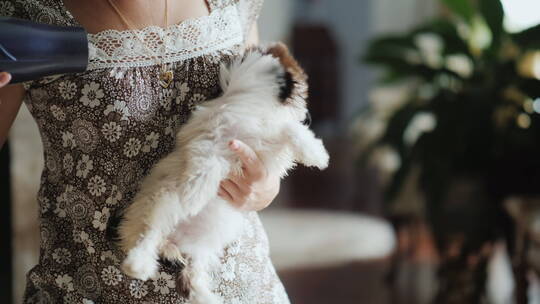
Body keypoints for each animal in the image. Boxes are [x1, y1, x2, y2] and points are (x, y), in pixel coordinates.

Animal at [118, 42, 330, 304]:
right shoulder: (210, 144)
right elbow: (207, 167)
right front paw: (195, 195)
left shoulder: (265, 147)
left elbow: (290, 129)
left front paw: (316, 154)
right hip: (162, 205)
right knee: (149, 236)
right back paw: (138, 265)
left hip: (203, 249)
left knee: (191, 278)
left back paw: (207, 297)